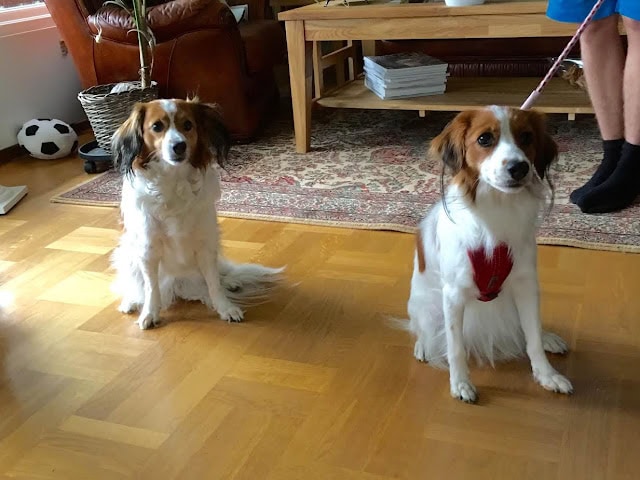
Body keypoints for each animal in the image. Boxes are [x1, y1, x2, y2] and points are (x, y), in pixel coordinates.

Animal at [110, 98, 284, 330]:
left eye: (188, 125)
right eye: (157, 126)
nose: (179, 145)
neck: (173, 181)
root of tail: (179, 284)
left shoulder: (205, 243)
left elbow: (213, 282)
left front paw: (225, 307)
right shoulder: (148, 248)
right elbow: (151, 287)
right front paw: (149, 313)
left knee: (219, 273)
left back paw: (230, 281)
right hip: (129, 252)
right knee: (136, 284)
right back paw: (130, 301)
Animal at [406, 106, 573, 403]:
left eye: (526, 137)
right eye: (484, 139)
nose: (519, 167)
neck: (497, 207)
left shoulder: (526, 285)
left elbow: (532, 336)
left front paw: (547, 375)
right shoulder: (454, 294)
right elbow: (455, 347)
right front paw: (460, 383)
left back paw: (548, 337)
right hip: (427, 303)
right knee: (424, 327)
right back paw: (424, 345)